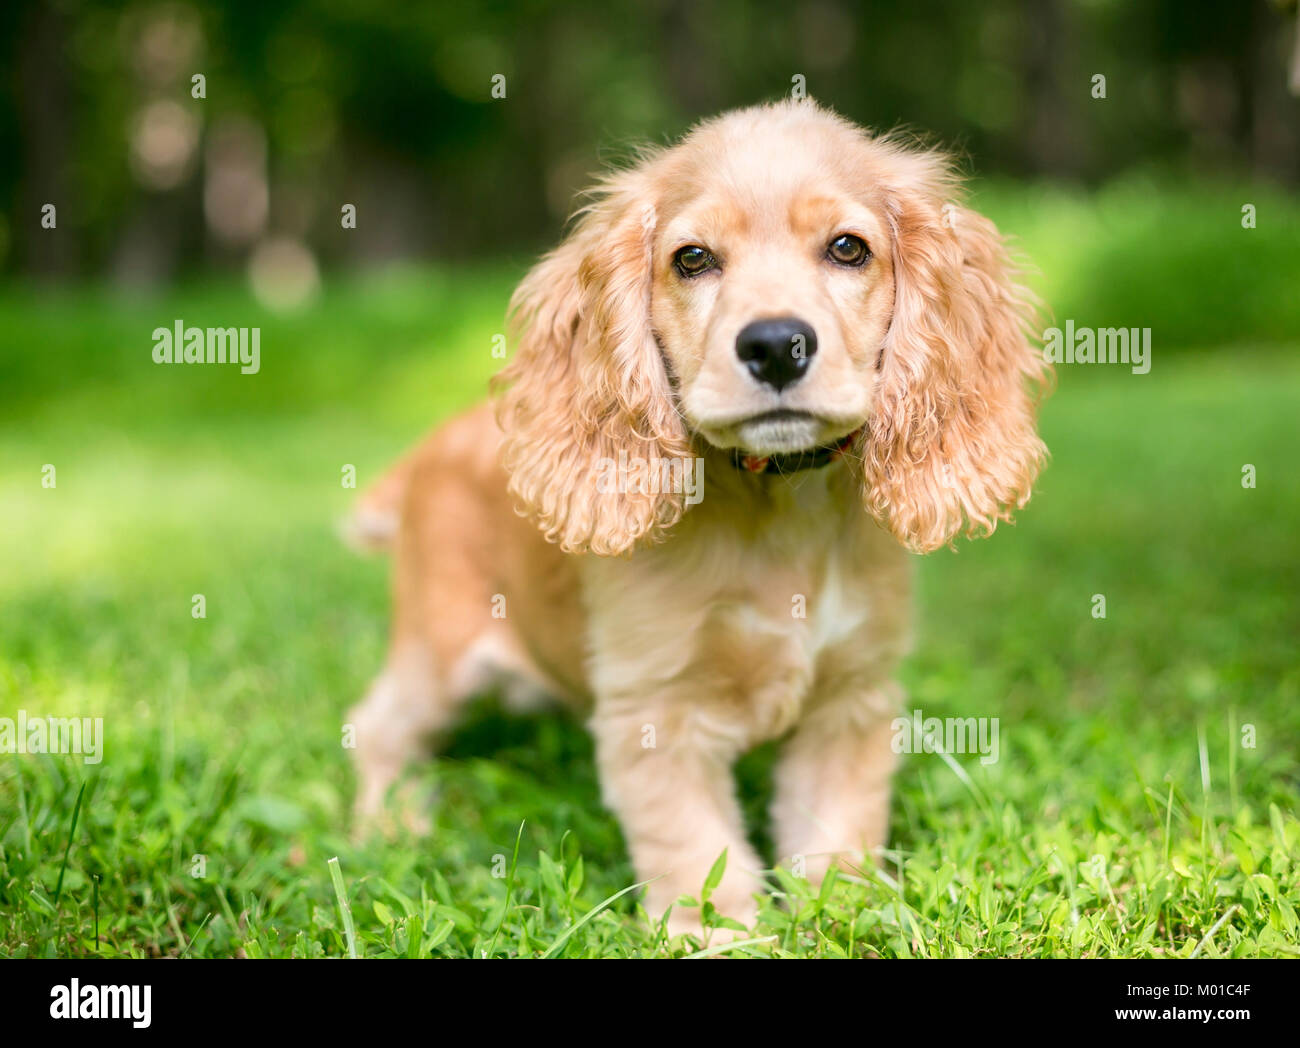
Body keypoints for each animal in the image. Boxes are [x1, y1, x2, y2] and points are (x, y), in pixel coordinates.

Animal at [343, 100, 1045, 936]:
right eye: (693, 259)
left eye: (848, 248)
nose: (775, 345)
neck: (778, 505)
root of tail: (426, 451)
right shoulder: (656, 713)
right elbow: (697, 850)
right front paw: (721, 935)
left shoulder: (850, 695)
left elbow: (835, 829)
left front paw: (843, 916)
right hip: (439, 654)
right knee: (376, 726)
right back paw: (390, 826)